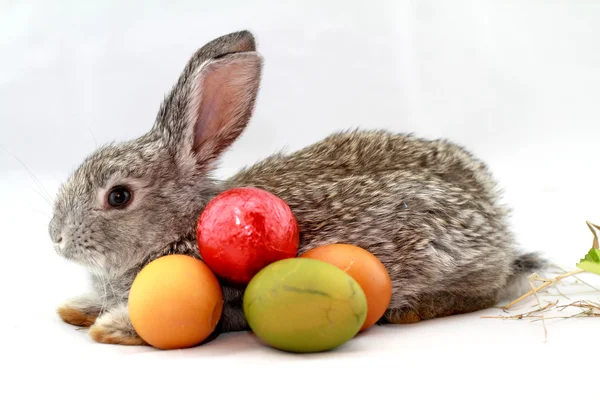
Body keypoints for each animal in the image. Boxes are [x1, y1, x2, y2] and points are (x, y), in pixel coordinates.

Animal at [50, 30, 544, 344]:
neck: (183, 223)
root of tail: (498, 227)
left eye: (119, 196)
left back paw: (413, 311)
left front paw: (110, 328)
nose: (55, 237)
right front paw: (75, 309)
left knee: (480, 293)